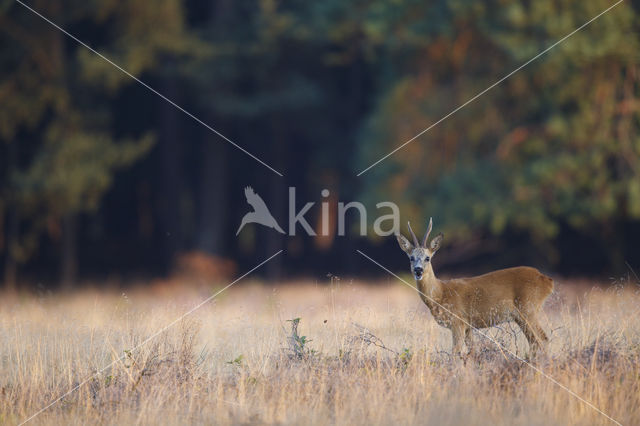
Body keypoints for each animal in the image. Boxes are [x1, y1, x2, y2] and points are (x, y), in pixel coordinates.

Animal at [398, 218, 552, 362]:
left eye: (427, 258)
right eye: (411, 258)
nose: (418, 270)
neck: (440, 294)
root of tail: (547, 281)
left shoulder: (458, 321)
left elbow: (455, 353)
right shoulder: (468, 327)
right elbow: (472, 351)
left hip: (528, 309)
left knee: (543, 339)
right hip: (521, 316)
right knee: (534, 342)